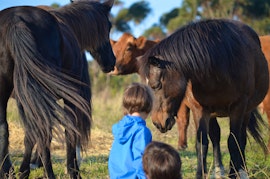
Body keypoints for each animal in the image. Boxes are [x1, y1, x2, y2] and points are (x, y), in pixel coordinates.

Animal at [0, 0, 115, 178]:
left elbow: (30, 135)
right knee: (43, 132)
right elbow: (70, 132)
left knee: (5, 128)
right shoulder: (70, 98)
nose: (112, 62)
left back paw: (8, 170)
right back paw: (47, 173)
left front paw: (24, 169)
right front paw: (73, 171)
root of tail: (16, 21)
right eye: (108, 26)